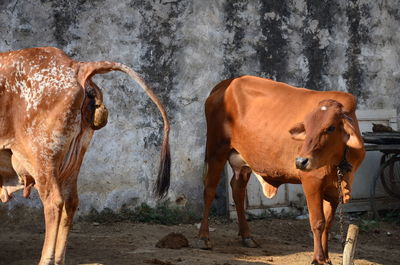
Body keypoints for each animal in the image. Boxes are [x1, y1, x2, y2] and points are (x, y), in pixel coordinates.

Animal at [0, 47, 170, 264]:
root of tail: (77, 67)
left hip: (43, 158)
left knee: (54, 202)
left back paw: (47, 259)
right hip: (73, 159)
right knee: (71, 202)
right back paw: (59, 259)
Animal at [198, 75, 366, 262]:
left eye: (330, 127)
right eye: (307, 126)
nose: (301, 161)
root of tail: (225, 84)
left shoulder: (334, 188)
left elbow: (328, 224)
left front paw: (327, 258)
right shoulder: (312, 182)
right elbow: (318, 222)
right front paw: (318, 259)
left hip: (243, 161)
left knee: (238, 190)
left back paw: (247, 236)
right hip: (216, 150)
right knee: (209, 190)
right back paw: (204, 237)